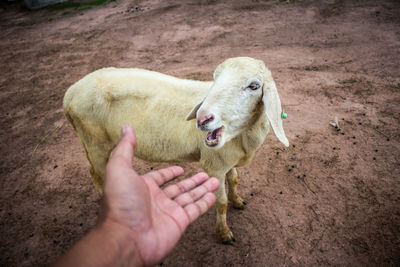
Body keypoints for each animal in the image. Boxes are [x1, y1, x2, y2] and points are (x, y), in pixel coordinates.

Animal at [63, 57, 288, 244]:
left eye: (254, 86)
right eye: (214, 79)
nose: (202, 118)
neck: (241, 136)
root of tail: (70, 94)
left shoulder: (227, 159)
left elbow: (233, 180)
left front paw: (238, 201)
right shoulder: (214, 165)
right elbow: (221, 202)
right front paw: (224, 233)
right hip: (95, 144)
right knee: (97, 175)